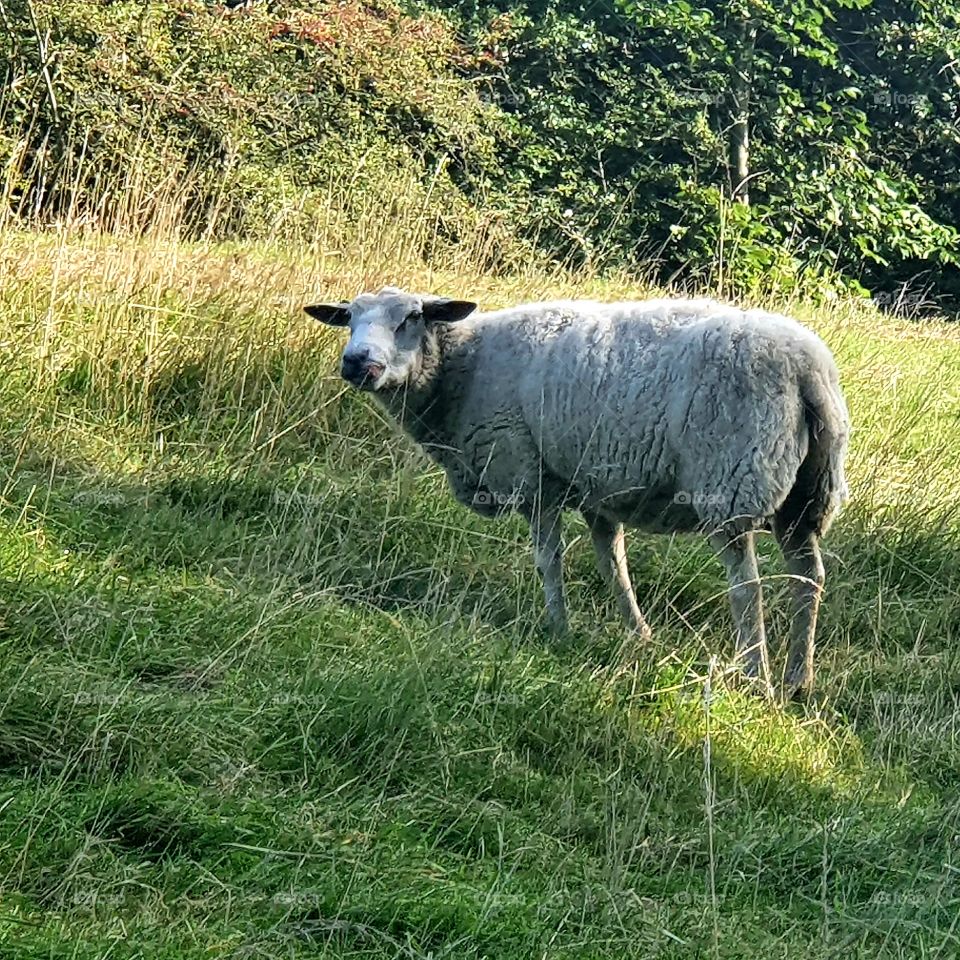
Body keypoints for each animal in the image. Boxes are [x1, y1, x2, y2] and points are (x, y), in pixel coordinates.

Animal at [305, 287, 850, 697]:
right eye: (349, 319)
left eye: (412, 317)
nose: (357, 363)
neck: (461, 369)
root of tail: (809, 368)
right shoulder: (597, 492)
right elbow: (615, 567)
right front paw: (639, 636)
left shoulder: (530, 475)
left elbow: (549, 561)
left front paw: (558, 629)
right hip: (807, 495)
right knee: (808, 577)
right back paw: (799, 679)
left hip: (733, 481)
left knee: (748, 586)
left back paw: (755, 677)